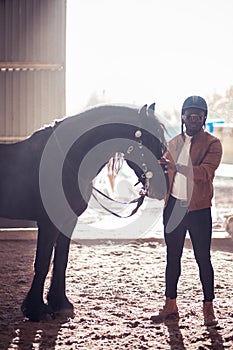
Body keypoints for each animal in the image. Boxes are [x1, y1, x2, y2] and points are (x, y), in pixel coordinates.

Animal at [0, 102, 167, 322]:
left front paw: (60, 304)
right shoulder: (48, 223)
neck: (65, 161)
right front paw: (35, 309)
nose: (162, 187)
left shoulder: (68, 220)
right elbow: (42, 262)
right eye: (148, 141)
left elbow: (61, 260)